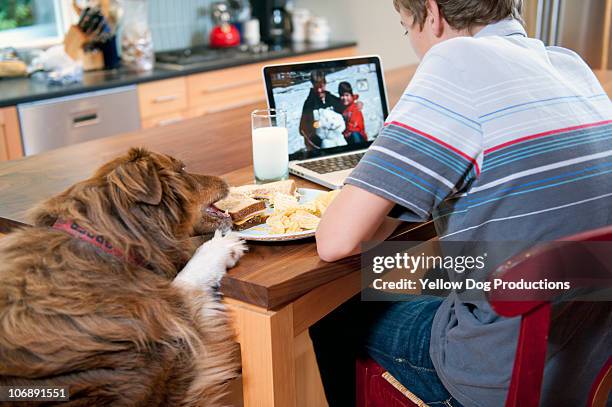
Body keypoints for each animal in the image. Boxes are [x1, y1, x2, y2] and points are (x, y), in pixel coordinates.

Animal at [0, 150, 244, 407]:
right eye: (182, 169)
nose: (225, 179)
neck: (107, 241)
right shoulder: (171, 366)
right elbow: (184, 287)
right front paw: (219, 247)